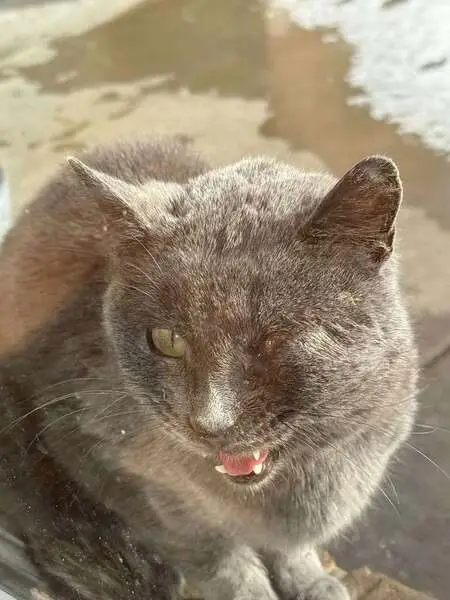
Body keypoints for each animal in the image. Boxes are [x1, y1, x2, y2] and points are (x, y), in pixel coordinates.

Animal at [0, 135, 418, 600]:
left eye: (277, 338)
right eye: (166, 340)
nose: (208, 423)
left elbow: (291, 548)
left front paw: (311, 581)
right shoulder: (102, 456)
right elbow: (215, 556)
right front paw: (253, 588)